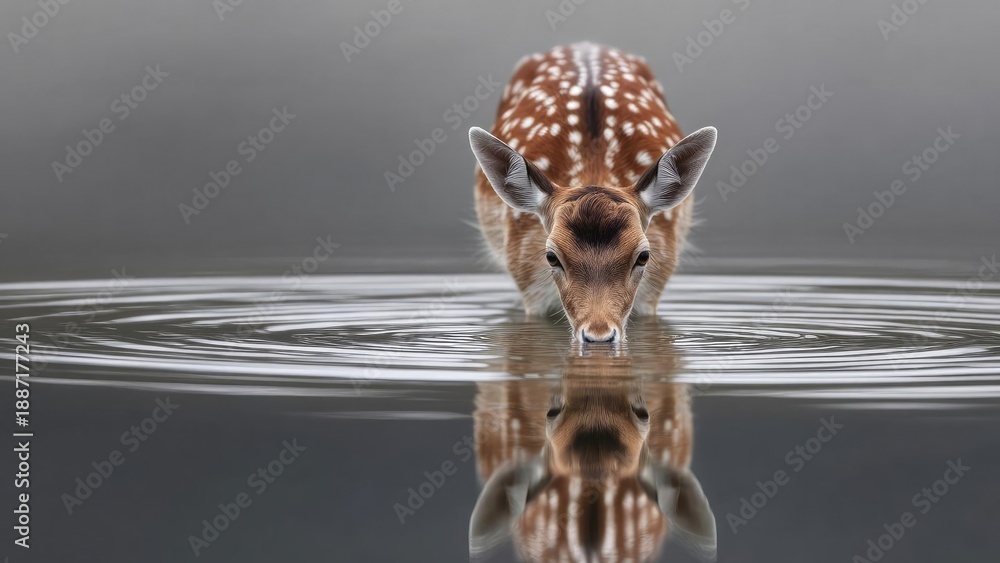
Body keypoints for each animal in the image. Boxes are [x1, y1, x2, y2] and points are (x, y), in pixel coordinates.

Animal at [469, 43, 717, 343]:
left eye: (643, 256)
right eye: (551, 256)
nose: (599, 335)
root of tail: (585, 45)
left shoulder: (657, 279)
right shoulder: (526, 277)